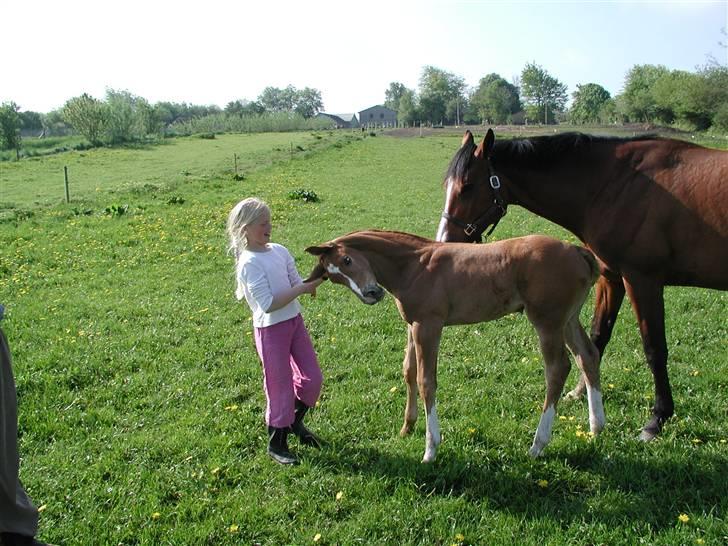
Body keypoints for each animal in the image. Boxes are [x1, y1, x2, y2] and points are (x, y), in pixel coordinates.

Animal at [304, 227, 604, 462]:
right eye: (334, 277)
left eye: (347, 259)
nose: (371, 293)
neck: (414, 266)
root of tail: (577, 251)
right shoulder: (413, 325)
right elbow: (409, 372)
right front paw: (407, 427)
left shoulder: (429, 326)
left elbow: (426, 381)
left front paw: (430, 448)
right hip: (568, 319)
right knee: (587, 355)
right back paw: (596, 427)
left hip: (547, 321)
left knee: (557, 369)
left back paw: (538, 444)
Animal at [438, 130, 728, 440]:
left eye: (467, 187)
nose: (444, 241)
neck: (615, 184)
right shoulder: (612, 279)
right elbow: (598, 336)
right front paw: (581, 393)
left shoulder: (643, 280)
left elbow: (654, 348)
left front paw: (658, 417)